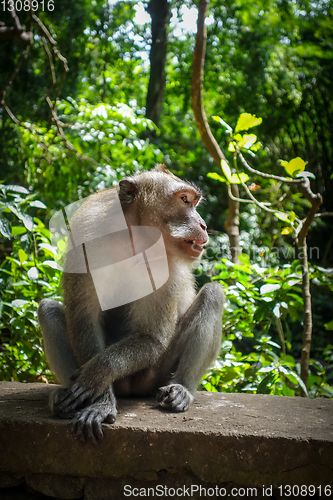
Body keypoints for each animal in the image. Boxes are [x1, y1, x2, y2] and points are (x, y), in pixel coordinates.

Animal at [37, 166, 223, 444]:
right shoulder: (86, 237)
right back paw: (65, 399)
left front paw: (98, 374)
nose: (203, 224)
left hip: (156, 374)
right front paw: (101, 400)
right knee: (47, 309)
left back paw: (183, 388)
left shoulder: (165, 263)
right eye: (184, 200)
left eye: (193, 201)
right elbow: (83, 320)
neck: (133, 239)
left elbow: (152, 338)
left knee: (213, 294)